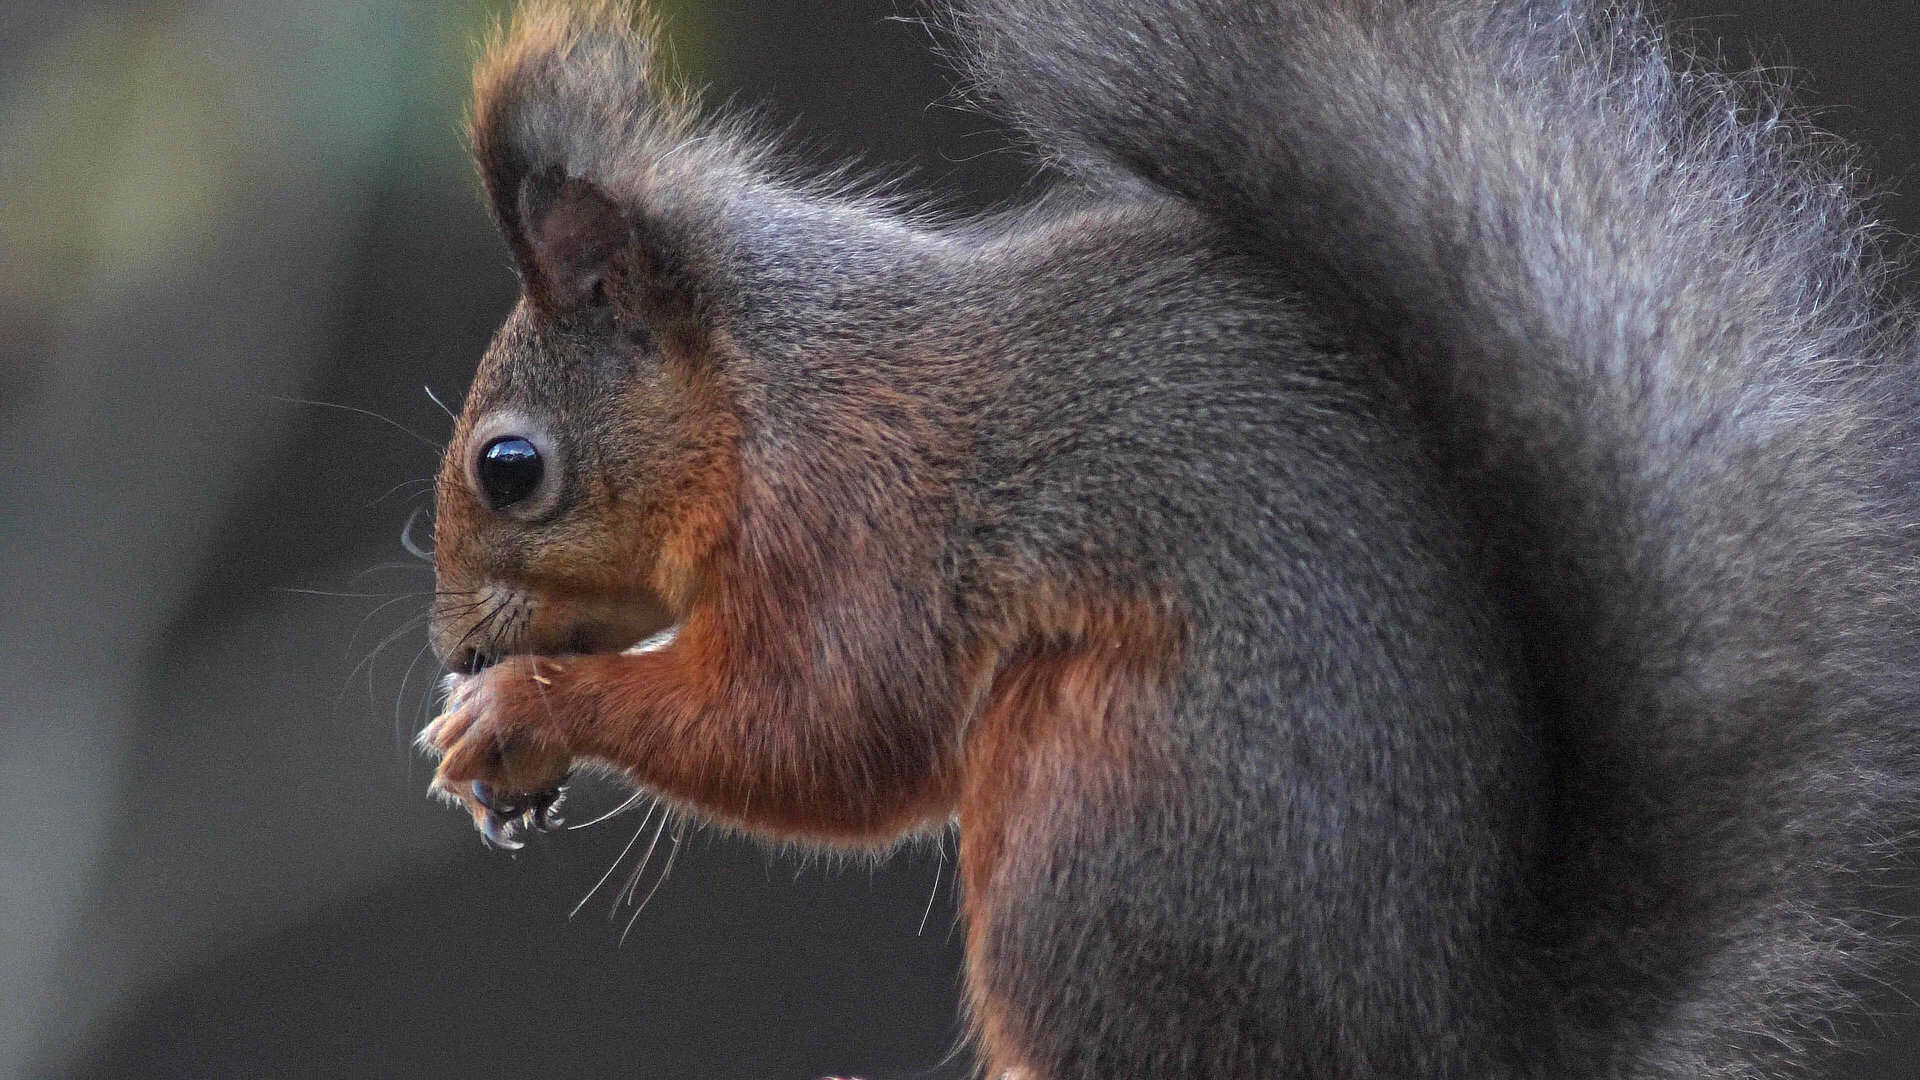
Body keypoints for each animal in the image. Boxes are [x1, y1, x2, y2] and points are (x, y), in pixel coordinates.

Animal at [417, 0, 1920, 1076]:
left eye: (511, 468)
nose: (451, 647)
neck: (759, 389)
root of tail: (1447, 1038)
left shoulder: (859, 512)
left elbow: (821, 728)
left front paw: (523, 708)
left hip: (1098, 826)